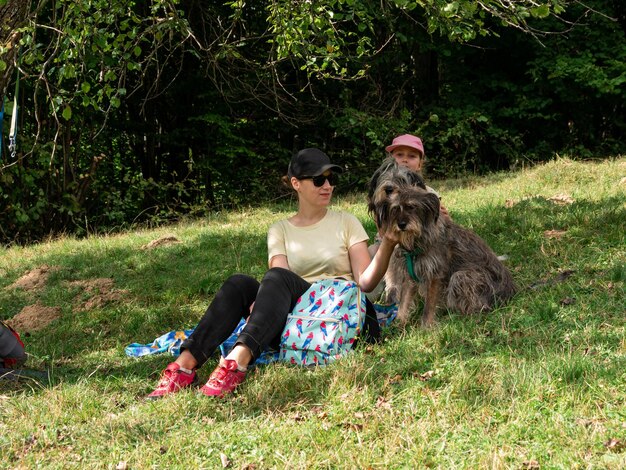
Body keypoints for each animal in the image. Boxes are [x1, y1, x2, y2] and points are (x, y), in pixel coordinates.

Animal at [368, 158, 516, 326]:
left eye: (411, 207)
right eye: (394, 209)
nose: (401, 224)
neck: (418, 240)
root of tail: (511, 291)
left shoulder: (434, 273)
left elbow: (429, 304)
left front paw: (426, 326)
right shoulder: (409, 273)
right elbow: (403, 299)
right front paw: (399, 322)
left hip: (461, 277)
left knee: (477, 306)